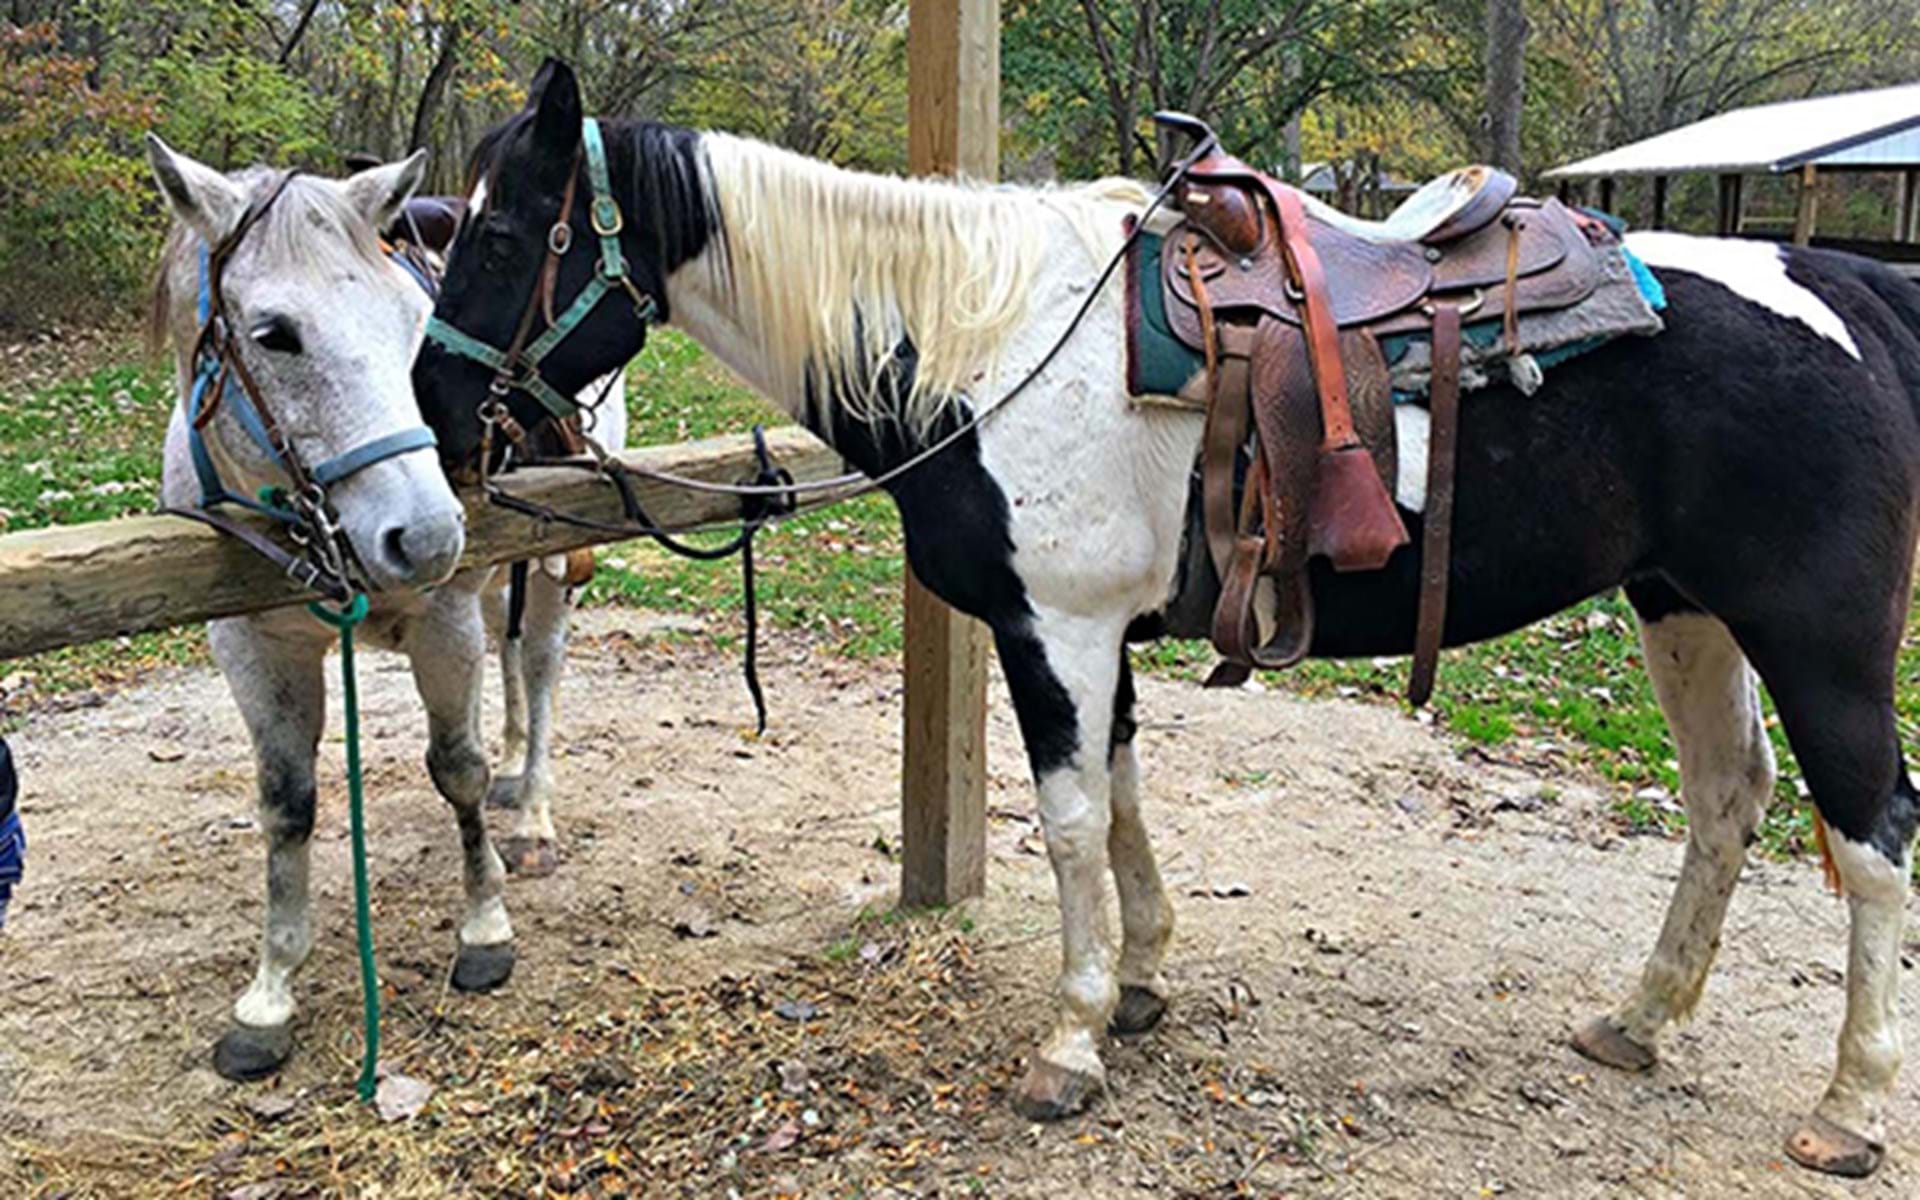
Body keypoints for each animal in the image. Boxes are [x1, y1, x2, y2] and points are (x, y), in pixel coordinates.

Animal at [145, 135, 616, 1081]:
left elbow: (456, 770)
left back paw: (533, 813)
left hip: (549, 573)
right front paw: (270, 993)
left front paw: (484, 927)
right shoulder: (250, 645)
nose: (426, 536)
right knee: (513, 666)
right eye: (274, 335)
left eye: (411, 327)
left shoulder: (443, 623)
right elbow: (287, 806)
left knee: (541, 671)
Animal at [410, 60, 1920, 1179]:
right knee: (1728, 800)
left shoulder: (1056, 634)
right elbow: (1125, 803)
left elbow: (1072, 821)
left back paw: (1847, 1108)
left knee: (1872, 837)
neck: (982, 345)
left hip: (1818, 639)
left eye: (501, 234)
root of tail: (1846, 284)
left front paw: (1071, 1043)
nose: (431, 409)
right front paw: (1139, 982)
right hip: (1685, 611)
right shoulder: (1096, 644)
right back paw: (1640, 1019)